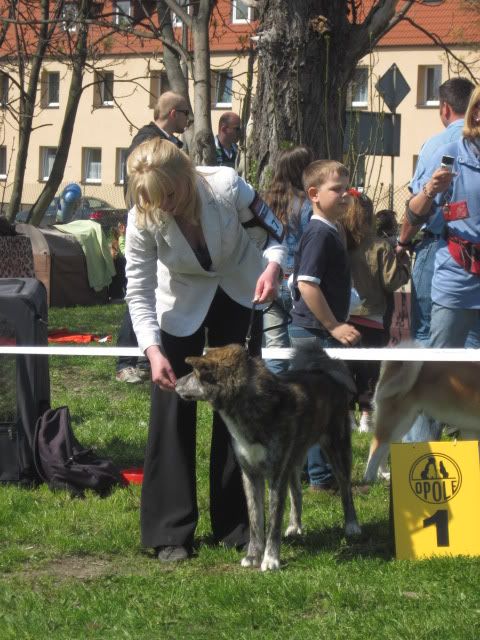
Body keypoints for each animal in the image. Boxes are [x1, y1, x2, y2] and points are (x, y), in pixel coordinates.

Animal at [175, 342, 361, 571]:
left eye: (195, 372)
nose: (175, 382)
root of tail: (324, 370)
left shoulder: (276, 474)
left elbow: (273, 521)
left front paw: (271, 559)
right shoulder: (250, 474)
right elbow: (255, 519)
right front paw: (253, 556)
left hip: (337, 448)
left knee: (345, 489)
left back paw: (352, 525)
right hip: (294, 457)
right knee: (297, 492)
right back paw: (295, 526)